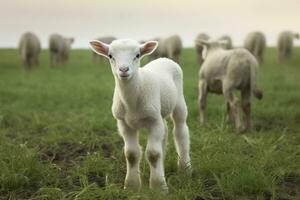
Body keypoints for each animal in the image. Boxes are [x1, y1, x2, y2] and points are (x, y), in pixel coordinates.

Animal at [89, 38, 191, 191]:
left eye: (137, 55)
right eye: (110, 56)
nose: (123, 70)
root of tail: (164, 58)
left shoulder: (153, 121)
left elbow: (153, 154)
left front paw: (158, 187)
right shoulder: (124, 124)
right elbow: (131, 154)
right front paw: (132, 186)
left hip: (178, 101)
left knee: (180, 131)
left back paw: (185, 169)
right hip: (159, 112)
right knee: (165, 133)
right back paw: (163, 168)